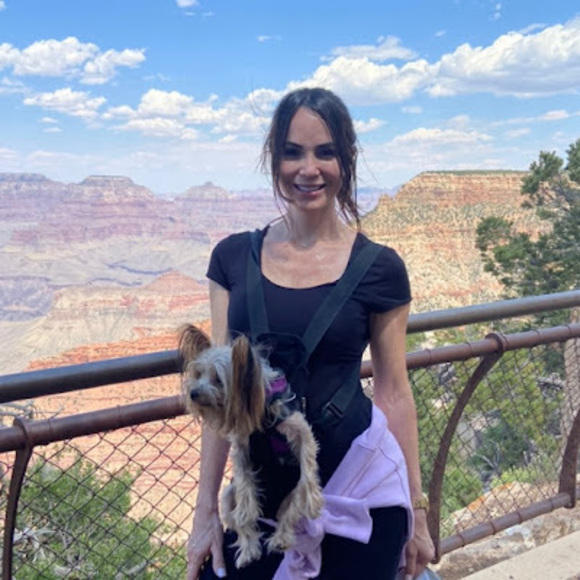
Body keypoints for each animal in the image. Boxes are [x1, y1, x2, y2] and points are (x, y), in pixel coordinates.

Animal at [179, 324, 324, 568]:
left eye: (218, 379)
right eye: (198, 374)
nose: (193, 393)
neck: (262, 410)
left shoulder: (300, 430)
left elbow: (308, 465)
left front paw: (312, 498)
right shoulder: (241, 445)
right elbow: (245, 481)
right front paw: (246, 510)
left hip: (290, 499)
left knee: (288, 516)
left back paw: (280, 539)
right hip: (227, 497)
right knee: (241, 527)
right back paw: (248, 549)